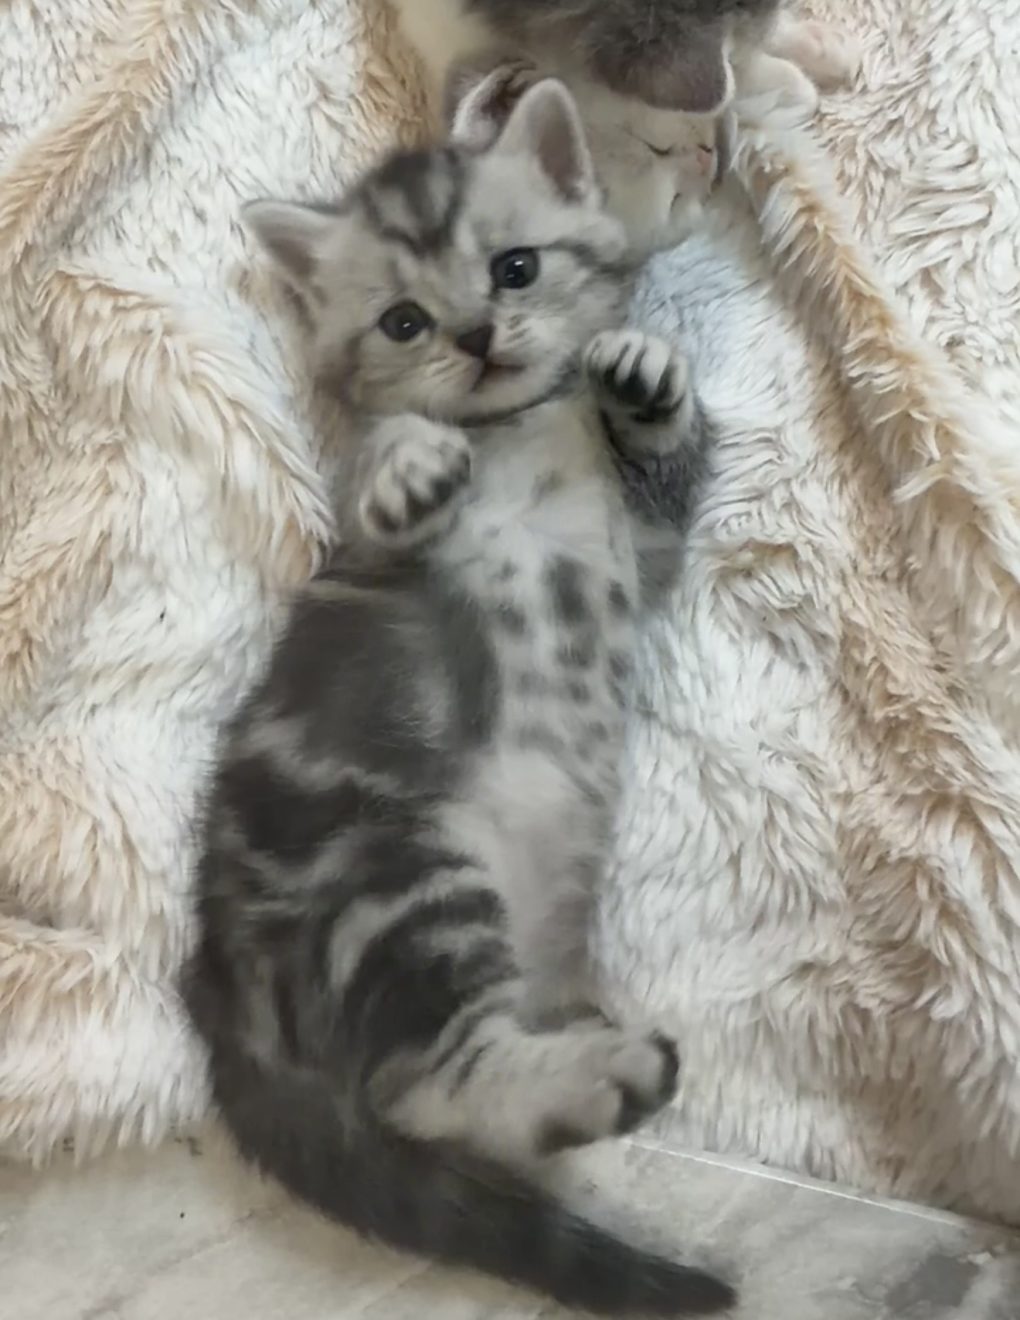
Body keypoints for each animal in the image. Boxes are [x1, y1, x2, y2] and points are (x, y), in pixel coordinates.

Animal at [183, 78, 734, 1315]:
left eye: (515, 269)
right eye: (403, 323)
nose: (477, 337)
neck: (519, 431)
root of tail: (217, 979)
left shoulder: (644, 547)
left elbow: (664, 461)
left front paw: (649, 383)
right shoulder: (365, 549)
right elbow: (381, 474)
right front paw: (407, 464)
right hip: (395, 874)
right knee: (423, 1086)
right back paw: (600, 1080)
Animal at [391, 0, 861, 252]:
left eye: (653, 142)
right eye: (674, 202)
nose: (706, 160)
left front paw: (817, 51)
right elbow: (737, 73)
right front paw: (791, 83)